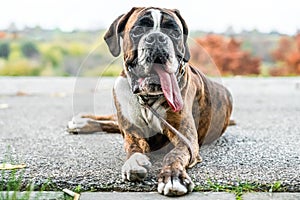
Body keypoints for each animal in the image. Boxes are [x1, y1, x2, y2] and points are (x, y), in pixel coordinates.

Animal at [67, 7, 232, 196]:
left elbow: (173, 155)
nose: (157, 38)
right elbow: (132, 147)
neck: (148, 97)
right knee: (113, 121)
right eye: (138, 30)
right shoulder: (132, 131)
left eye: (174, 32)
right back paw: (81, 122)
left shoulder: (186, 139)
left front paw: (173, 177)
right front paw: (135, 161)